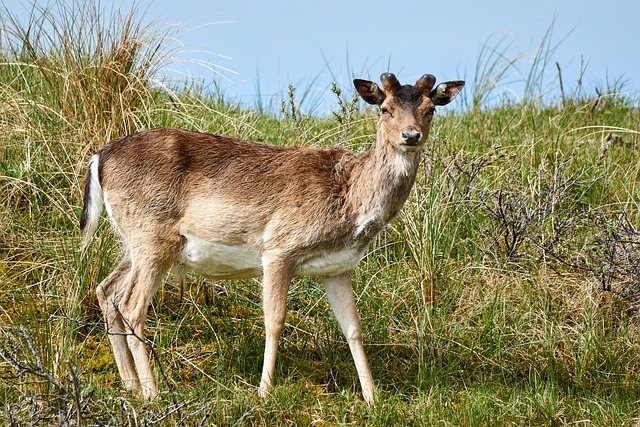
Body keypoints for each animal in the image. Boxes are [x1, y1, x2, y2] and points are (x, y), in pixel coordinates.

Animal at [80, 72, 464, 404]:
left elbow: (352, 327)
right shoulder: (279, 247)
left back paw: (129, 384)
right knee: (132, 305)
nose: (411, 136)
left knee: (106, 290)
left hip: (134, 241)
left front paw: (372, 398)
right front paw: (264, 392)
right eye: (384, 108)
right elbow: (275, 320)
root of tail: (99, 158)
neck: (351, 201)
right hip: (153, 236)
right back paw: (153, 392)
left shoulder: (338, 267)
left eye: (430, 109)